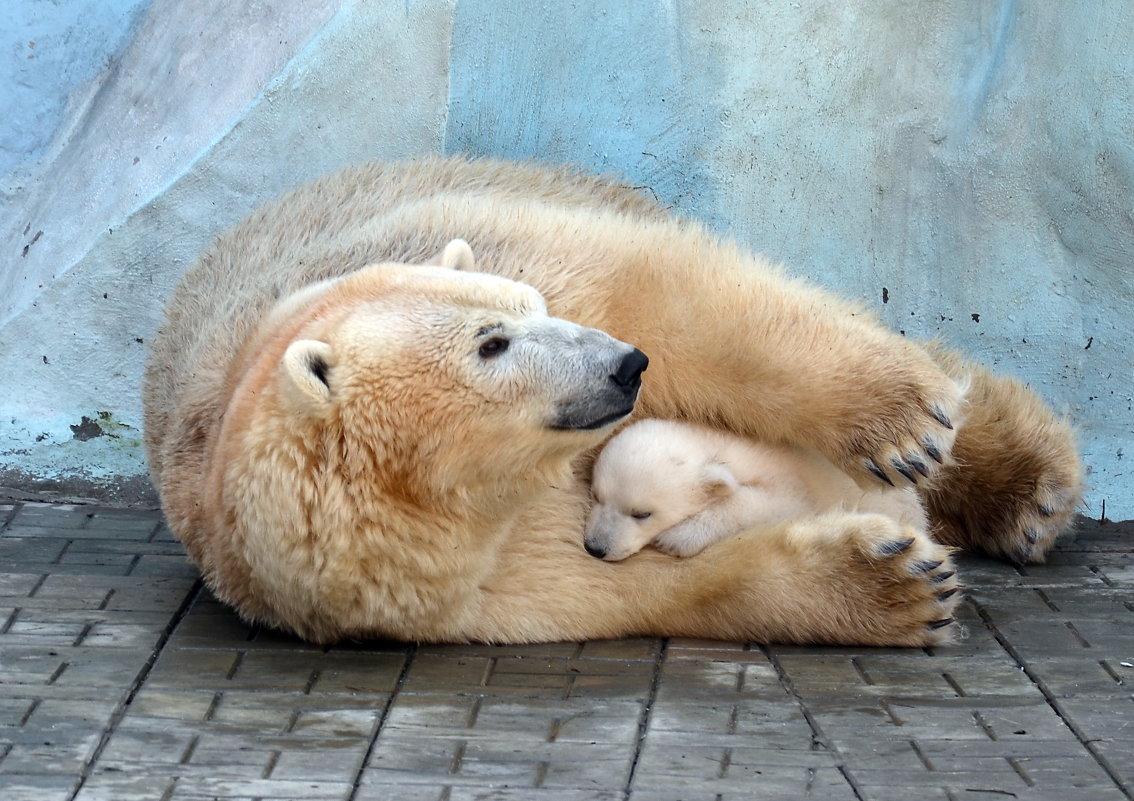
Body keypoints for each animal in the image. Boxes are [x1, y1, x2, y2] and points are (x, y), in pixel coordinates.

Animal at [589, 417, 925, 562]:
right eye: (596, 496)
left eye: (642, 513)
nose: (595, 548)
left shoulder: (791, 476)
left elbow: (780, 501)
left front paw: (677, 538)